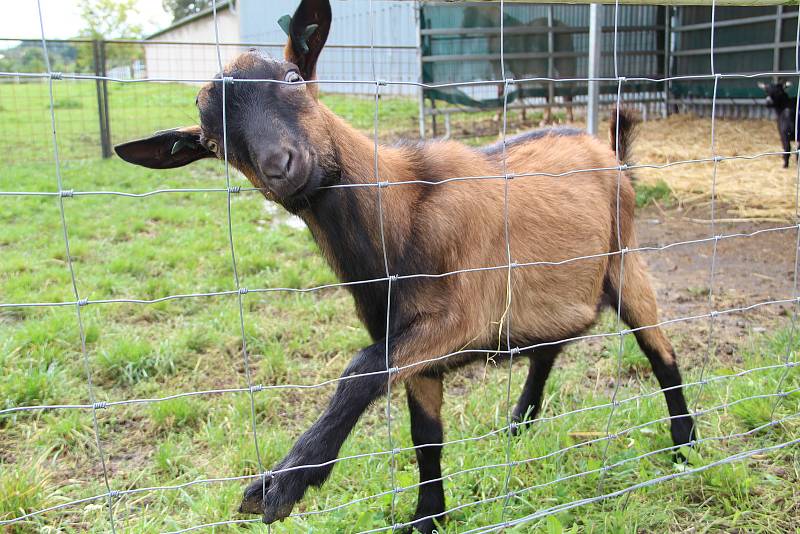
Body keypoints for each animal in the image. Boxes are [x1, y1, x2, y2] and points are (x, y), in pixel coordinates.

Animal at [114, 2, 692, 532]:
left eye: (295, 79)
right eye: (214, 144)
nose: (281, 166)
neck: (403, 210)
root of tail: (608, 149)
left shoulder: (459, 318)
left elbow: (360, 371)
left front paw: (285, 481)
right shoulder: (407, 340)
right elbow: (424, 436)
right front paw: (427, 518)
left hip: (625, 261)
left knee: (660, 352)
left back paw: (684, 447)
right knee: (552, 345)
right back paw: (520, 421)